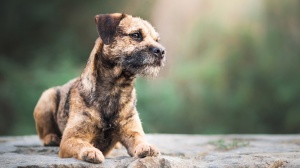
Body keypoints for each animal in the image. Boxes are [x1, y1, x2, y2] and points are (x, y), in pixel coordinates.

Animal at [34, 13, 166, 164]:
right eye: (136, 35)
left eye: (157, 40)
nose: (161, 51)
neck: (115, 88)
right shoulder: (71, 138)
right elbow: (81, 144)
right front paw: (90, 151)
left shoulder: (132, 130)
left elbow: (139, 139)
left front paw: (146, 146)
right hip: (47, 97)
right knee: (44, 132)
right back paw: (50, 138)